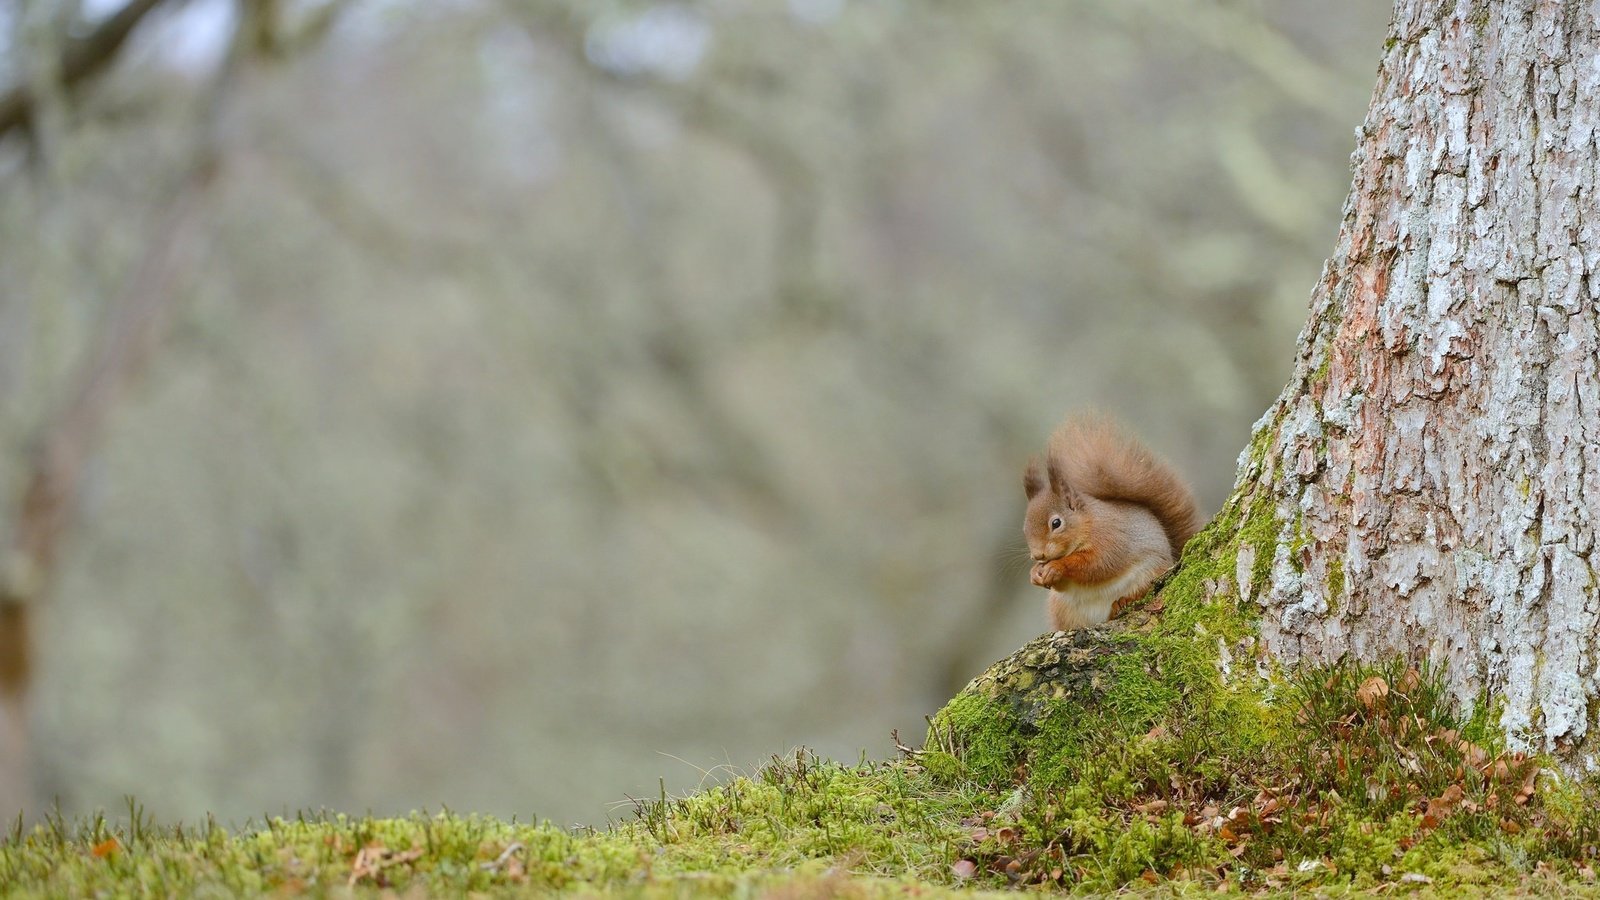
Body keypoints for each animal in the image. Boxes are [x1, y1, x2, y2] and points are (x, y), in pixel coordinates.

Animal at [1024, 413, 1203, 627]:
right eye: (1024, 529)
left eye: (1056, 523)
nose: (1038, 555)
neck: (1088, 523)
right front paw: (1035, 573)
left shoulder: (1110, 537)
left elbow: (1098, 564)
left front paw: (1056, 567)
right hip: (1062, 609)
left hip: (1150, 573)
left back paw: (1123, 602)